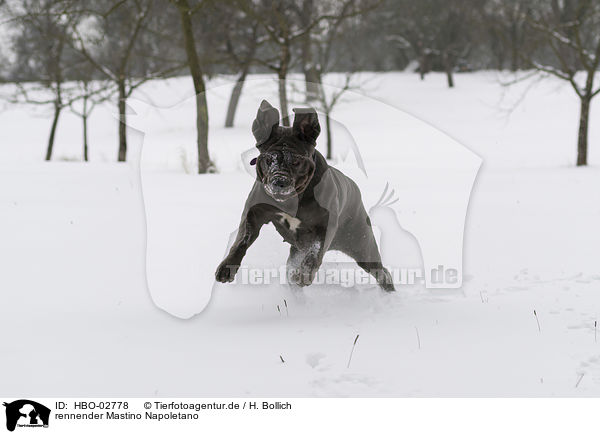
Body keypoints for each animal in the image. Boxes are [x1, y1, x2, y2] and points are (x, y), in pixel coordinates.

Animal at [216, 100, 394, 292]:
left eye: (296, 161)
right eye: (269, 159)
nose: (279, 181)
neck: (293, 200)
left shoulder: (324, 226)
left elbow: (314, 253)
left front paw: (303, 275)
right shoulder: (254, 213)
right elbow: (242, 239)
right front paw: (227, 266)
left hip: (362, 246)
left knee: (382, 272)